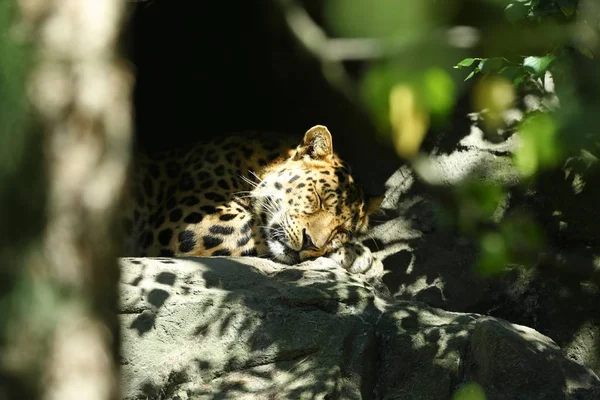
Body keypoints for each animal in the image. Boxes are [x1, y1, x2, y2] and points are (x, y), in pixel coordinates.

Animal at [124, 126, 382, 274]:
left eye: (342, 230)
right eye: (318, 198)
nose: (310, 243)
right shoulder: (196, 224)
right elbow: (258, 232)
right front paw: (359, 254)